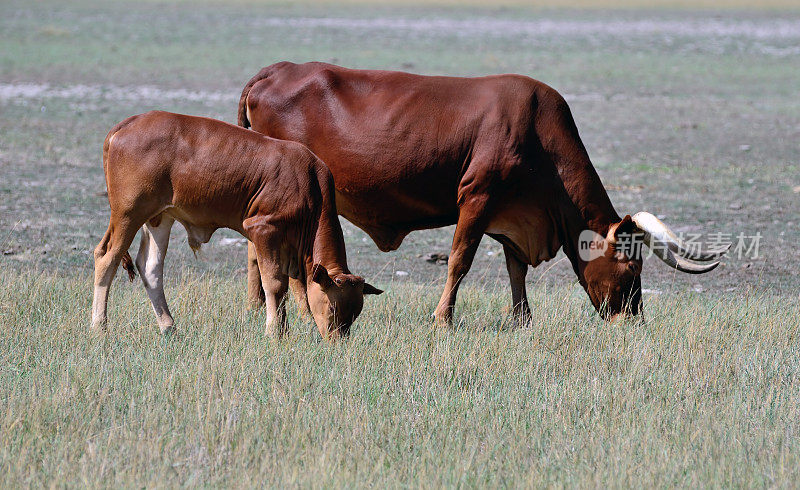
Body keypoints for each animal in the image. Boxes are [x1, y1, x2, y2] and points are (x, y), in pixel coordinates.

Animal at [89, 110, 382, 338]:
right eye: (333, 308)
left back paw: (169, 326)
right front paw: (275, 332)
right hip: (128, 213)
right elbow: (274, 283)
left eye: (355, 314)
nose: (337, 340)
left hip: (159, 217)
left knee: (150, 268)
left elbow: (292, 288)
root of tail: (131, 123)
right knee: (107, 257)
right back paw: (99, 326)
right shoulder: (263, 230)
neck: (310, 185)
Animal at [236, 63, 724, 324]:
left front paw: (522, 320)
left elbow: (514, 269)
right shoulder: (476, 198)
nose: (633, 318)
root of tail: (275, 71)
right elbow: (460, 261)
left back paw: (257, 305)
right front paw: (443, 318)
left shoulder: (511, 214)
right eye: (631, 266)